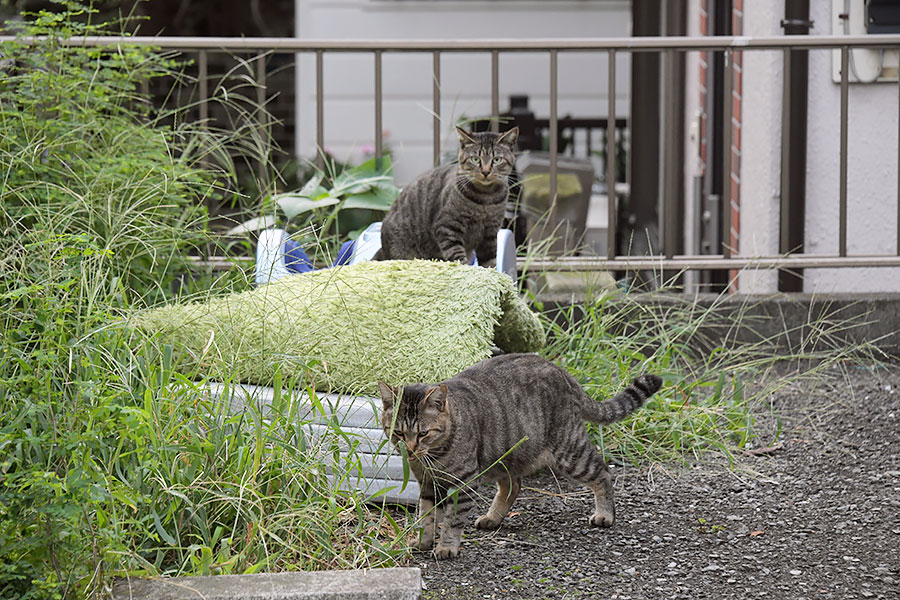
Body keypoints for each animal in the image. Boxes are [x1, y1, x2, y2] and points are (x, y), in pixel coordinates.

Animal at [370, 126, 516, 264]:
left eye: (496, 160)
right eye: (475, 159)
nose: (485, 172)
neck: (486, 198)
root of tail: (382, 248)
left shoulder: (490, 234)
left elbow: (490, 262)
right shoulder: (447, 227)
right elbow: (457, 256)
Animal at [376, 354, 664, 560]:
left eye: (423, 433)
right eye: (398, 432)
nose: (409, 449)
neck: (433, 457)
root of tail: (565, 374)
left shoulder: (464, 482)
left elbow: (452, 519)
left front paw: (447, 546)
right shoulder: (428, 484)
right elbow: (425, 517)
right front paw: (422, 542)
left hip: (570, 452)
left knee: (603, 471)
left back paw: (605, 514)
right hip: (503, 455)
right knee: (513, 486)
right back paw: (493, 518)